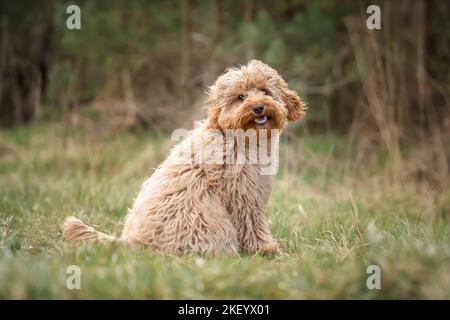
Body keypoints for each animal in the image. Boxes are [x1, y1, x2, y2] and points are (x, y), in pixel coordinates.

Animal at [60, 60, 306, 255]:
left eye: (265, 91)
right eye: (241, 97)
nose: (258, 107)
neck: (240, 139)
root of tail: (133, 242)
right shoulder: (243, 195)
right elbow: (252, 223)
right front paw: (264, 248)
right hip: (208, 223)